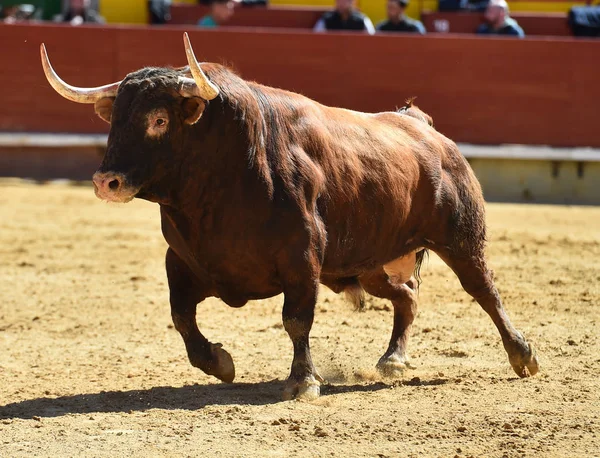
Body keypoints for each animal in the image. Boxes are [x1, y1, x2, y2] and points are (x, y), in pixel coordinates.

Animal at [41, 32, 540, 398]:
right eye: (114, 120)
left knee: (483, 289)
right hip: (370, 261)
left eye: (159, 120)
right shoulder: (181, 259)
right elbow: (182, 316)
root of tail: (424, 129)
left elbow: (296, 319)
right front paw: (221, 363)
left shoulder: (303, 258)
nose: (106, 181)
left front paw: (302, 382)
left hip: (460, 238)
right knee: (407, 296)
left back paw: (522, 355)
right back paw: (393, 360)